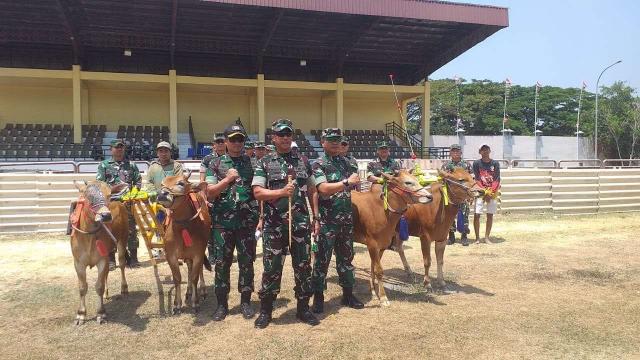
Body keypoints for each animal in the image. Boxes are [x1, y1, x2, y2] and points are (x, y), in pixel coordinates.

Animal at [70, 181, 130, 324]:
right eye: (87, 195)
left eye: (109, 194)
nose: (106, 215)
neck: (89, 238)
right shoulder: (78, 262)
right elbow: (82, 287)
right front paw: (81, 314)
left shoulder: (102, 260)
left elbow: (99, 285)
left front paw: (101, 313)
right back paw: (106, 294)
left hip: (123, 239)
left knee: (122, 264)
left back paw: (124, 289)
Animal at [157, 170, 210, 314]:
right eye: (162, 184)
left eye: (181, 183)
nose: (161, 194)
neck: (182, 229)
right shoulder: (170, 256)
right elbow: (177, 279)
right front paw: (177, 304)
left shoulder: (198, 253)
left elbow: (195, 276)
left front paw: (195, 302)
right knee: (189, 268)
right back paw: (189, 291)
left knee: (198, 270)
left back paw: (202, 291)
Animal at [350, 170, 436, 306]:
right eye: (408, 182)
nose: (430, 197)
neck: (382, 209)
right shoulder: (372, 245)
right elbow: (379, 270)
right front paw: (383, 297)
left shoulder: (381, 246)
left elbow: (373, 269)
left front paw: (374, 293)